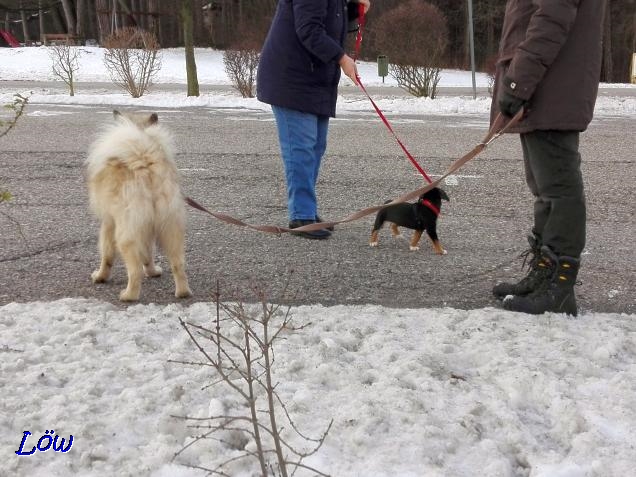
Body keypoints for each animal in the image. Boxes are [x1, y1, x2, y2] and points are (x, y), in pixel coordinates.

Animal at [85, 109, 193, 300]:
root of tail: (145, 163)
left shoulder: (109, 222)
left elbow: (107, 254)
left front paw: (100, 276)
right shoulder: (148, 229)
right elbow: (148, 255)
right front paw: (153, 272)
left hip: (127, 233)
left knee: (134, 271)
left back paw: (129, 295)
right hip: (171, 228)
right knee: (178, 264)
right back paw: (182, 292)